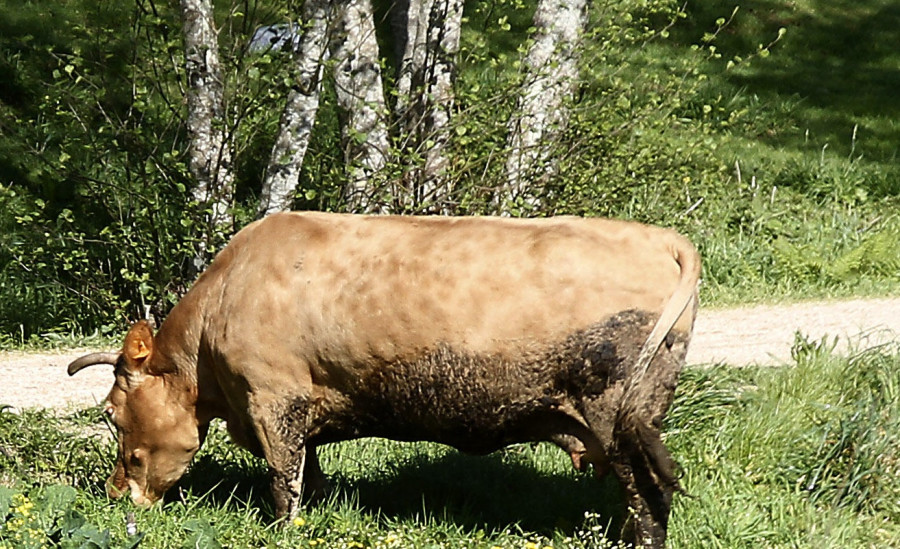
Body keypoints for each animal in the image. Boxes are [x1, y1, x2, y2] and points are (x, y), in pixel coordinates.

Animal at [68, 212, 704, 544]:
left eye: (111, 414)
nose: (116, 496)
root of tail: (658, 237)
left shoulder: (272, 399)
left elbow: (283, 479)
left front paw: (285, 529)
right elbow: (310, 472)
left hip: (619, 417)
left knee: (648, 494)